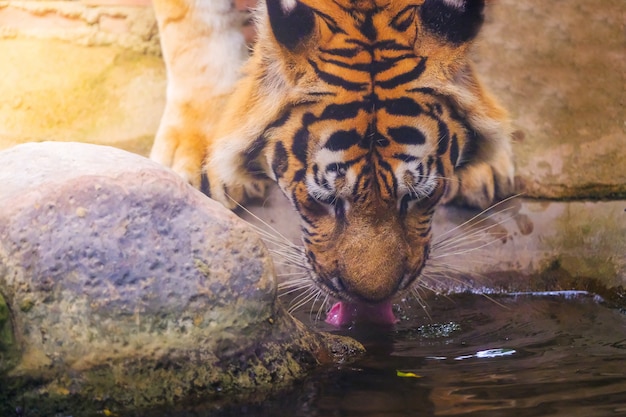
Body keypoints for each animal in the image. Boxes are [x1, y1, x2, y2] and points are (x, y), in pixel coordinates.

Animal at [150, 0, 512, 324]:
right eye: (324, 200)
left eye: (417, 197)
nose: (371, 301)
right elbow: (196, 38)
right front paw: (199, 160)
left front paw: (484, 165)